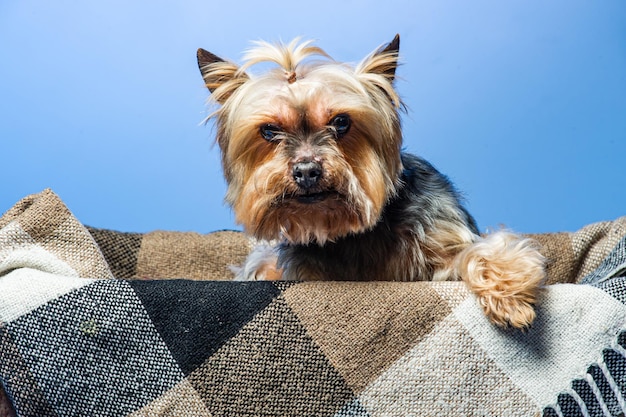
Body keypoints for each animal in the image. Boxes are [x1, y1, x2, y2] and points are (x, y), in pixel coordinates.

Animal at [195, 35, 540, 328]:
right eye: (269, 131)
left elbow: (483, 250)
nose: (306, 170)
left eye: (341, 122)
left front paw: (510, 300)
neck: (352, 235)